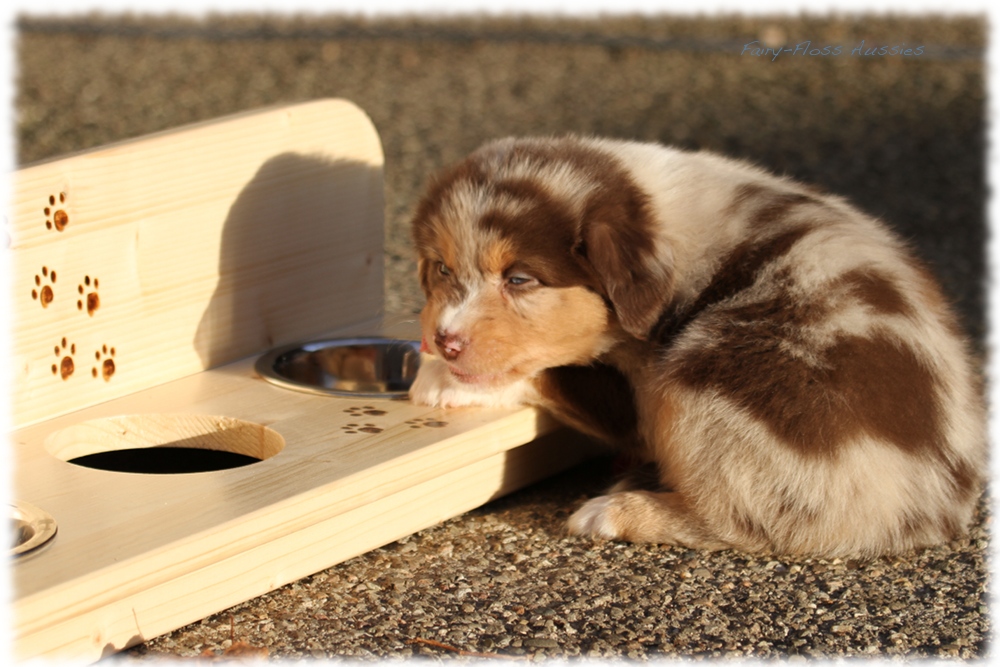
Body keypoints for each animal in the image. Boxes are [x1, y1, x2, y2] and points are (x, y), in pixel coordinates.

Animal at [406, 137, 984, 560]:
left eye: (520, 279)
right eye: (442, 269)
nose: (445, 340)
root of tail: (933, 508)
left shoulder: (642, 390)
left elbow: (563, 376)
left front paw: (439, 379)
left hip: (703, 374)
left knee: (747, 523)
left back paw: (612, 512)